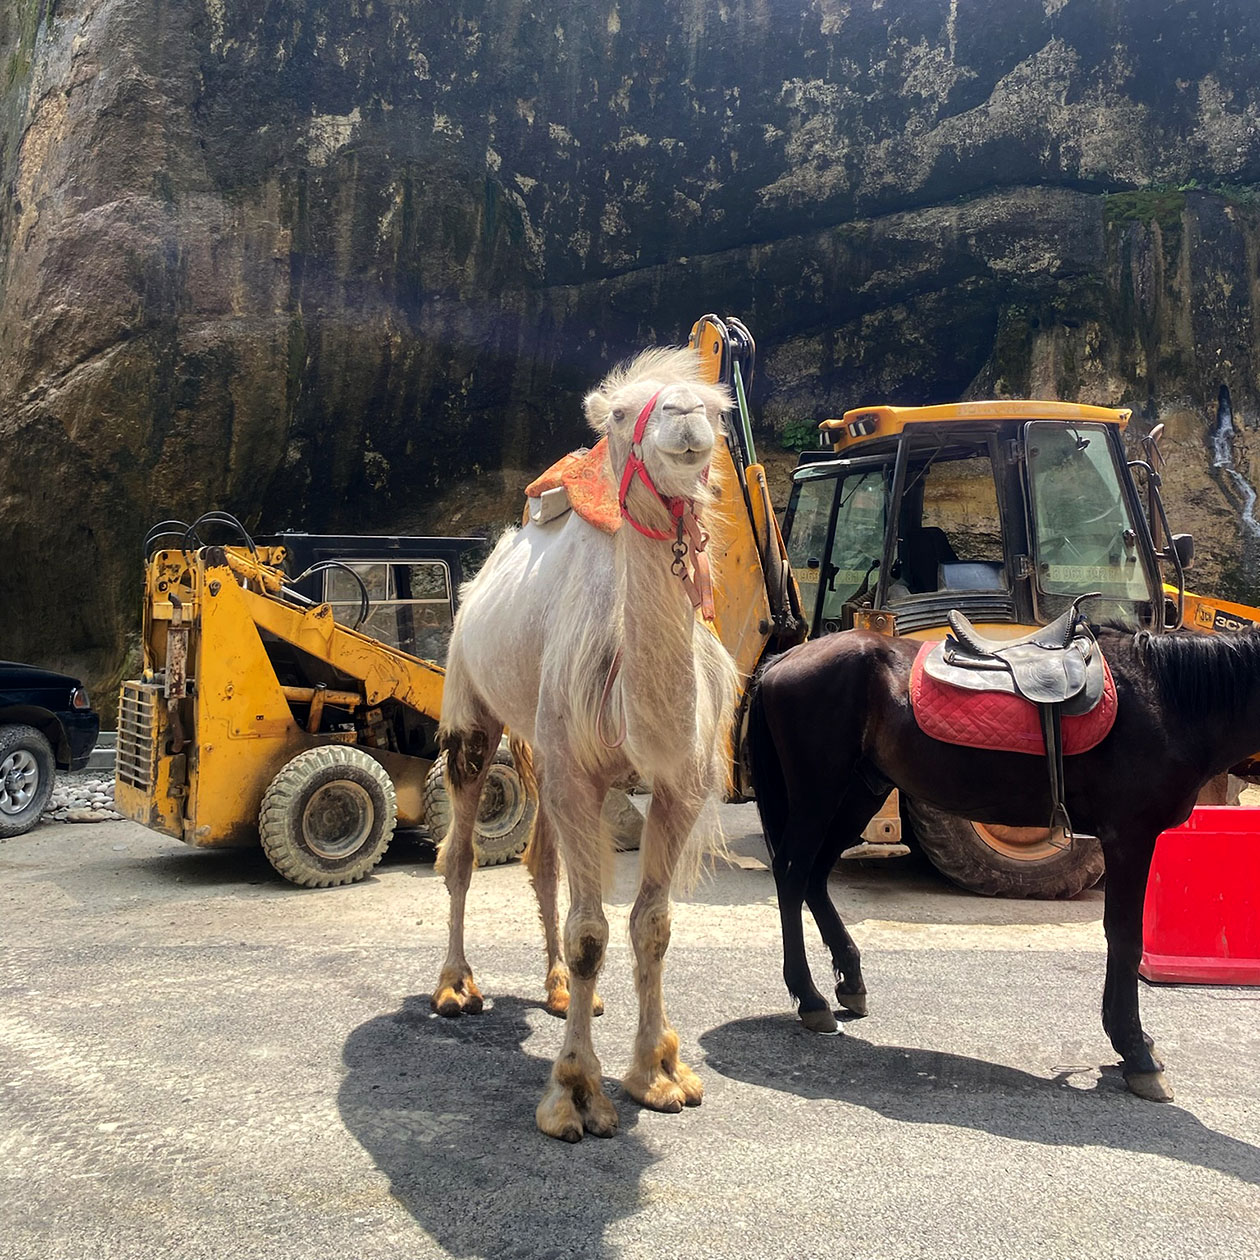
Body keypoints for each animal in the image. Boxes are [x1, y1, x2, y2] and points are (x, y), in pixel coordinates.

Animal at [435, 345, 735, 1144]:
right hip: (470, 702)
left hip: (543, 745)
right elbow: (592, 932)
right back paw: (454, 987)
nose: (685, 420)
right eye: (625, 413)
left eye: (717, 409)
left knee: (542, 862)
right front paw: (573, 1095)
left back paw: (562, 990)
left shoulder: (680, 782)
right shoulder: (576, 766)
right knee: (462, 854)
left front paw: (659, 1074)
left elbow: (651, 924)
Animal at [745, 627, 1260, 1103]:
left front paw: (1131, 1041)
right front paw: (1135, 1052)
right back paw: (810, 999)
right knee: (792, 877)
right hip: (818, 793)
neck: (1164, 701)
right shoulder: (1129, 837)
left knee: (814, 878)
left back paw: (850, 981)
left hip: (860, 793)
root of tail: (784, 659)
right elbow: (1125, 938)